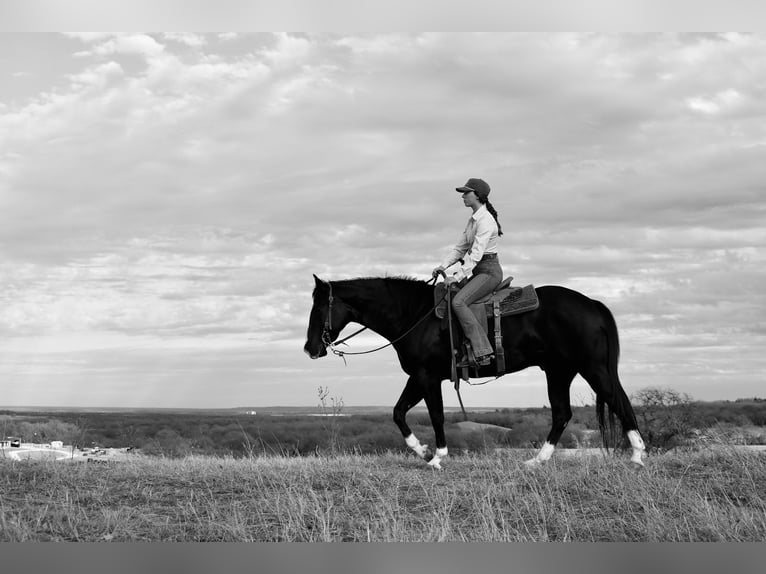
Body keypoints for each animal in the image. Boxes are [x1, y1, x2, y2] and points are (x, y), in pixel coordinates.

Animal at [304, 274, 645, 469]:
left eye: (319, 307)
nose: (310, 348)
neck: (415, 315)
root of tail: (592, 303)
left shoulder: (428, 377)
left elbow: (436, 416)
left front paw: (437, 458)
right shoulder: (418, 377)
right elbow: (398, 412)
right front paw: (422, 450)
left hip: (592, 368)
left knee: (619, 402)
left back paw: (637, 456)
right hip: (559, 372)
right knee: (562, 413)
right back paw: (537, 461)